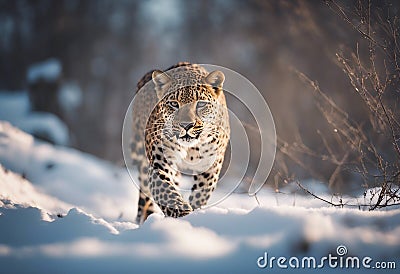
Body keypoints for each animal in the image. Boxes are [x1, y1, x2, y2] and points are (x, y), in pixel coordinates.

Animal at [130, 62, 230, 225]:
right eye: (173, 104)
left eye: (201, 104)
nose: (186, 125)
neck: (191, 148)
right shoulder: (160, 163)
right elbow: (166, 191)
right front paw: (182, 217)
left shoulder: (210, 166)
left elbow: (201, 193)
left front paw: (195, 214)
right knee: (145, 195)